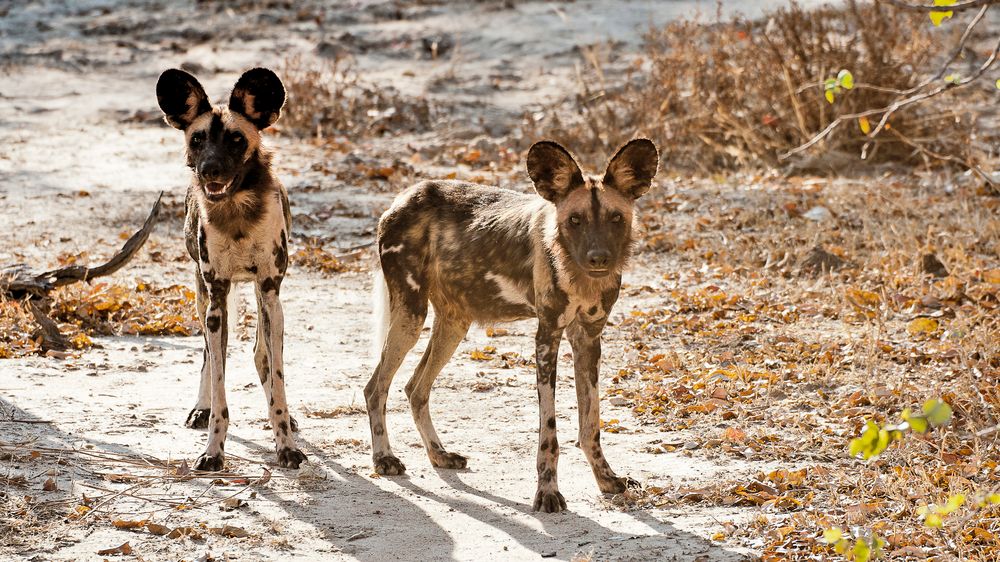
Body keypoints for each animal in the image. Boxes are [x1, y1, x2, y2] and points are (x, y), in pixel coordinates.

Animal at [155, 66, 304, 468]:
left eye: (237, 140)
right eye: (198, 139)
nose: (210, 170)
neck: (236, 213)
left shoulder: (270, 293)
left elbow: (278, 378)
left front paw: (286, 445)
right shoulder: (217, 299)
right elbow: (220, 381)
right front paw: (213, 450)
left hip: (264, 302)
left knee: (262, 356)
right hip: (204, 300)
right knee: (210, 355)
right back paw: (201, 408)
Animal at [368, 138, 656, 510]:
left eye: (616, 218)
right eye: (575, 220)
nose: (598, 259)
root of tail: (403, 197)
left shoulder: (588, 339)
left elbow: (590, 423)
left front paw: (607, 479)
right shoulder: (547, 336)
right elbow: (549, 431)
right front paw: (548, 493)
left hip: (454, 324)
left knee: (415, 388)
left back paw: (439, 455)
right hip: (411, 316)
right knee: (376, 388)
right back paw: (384, 458)